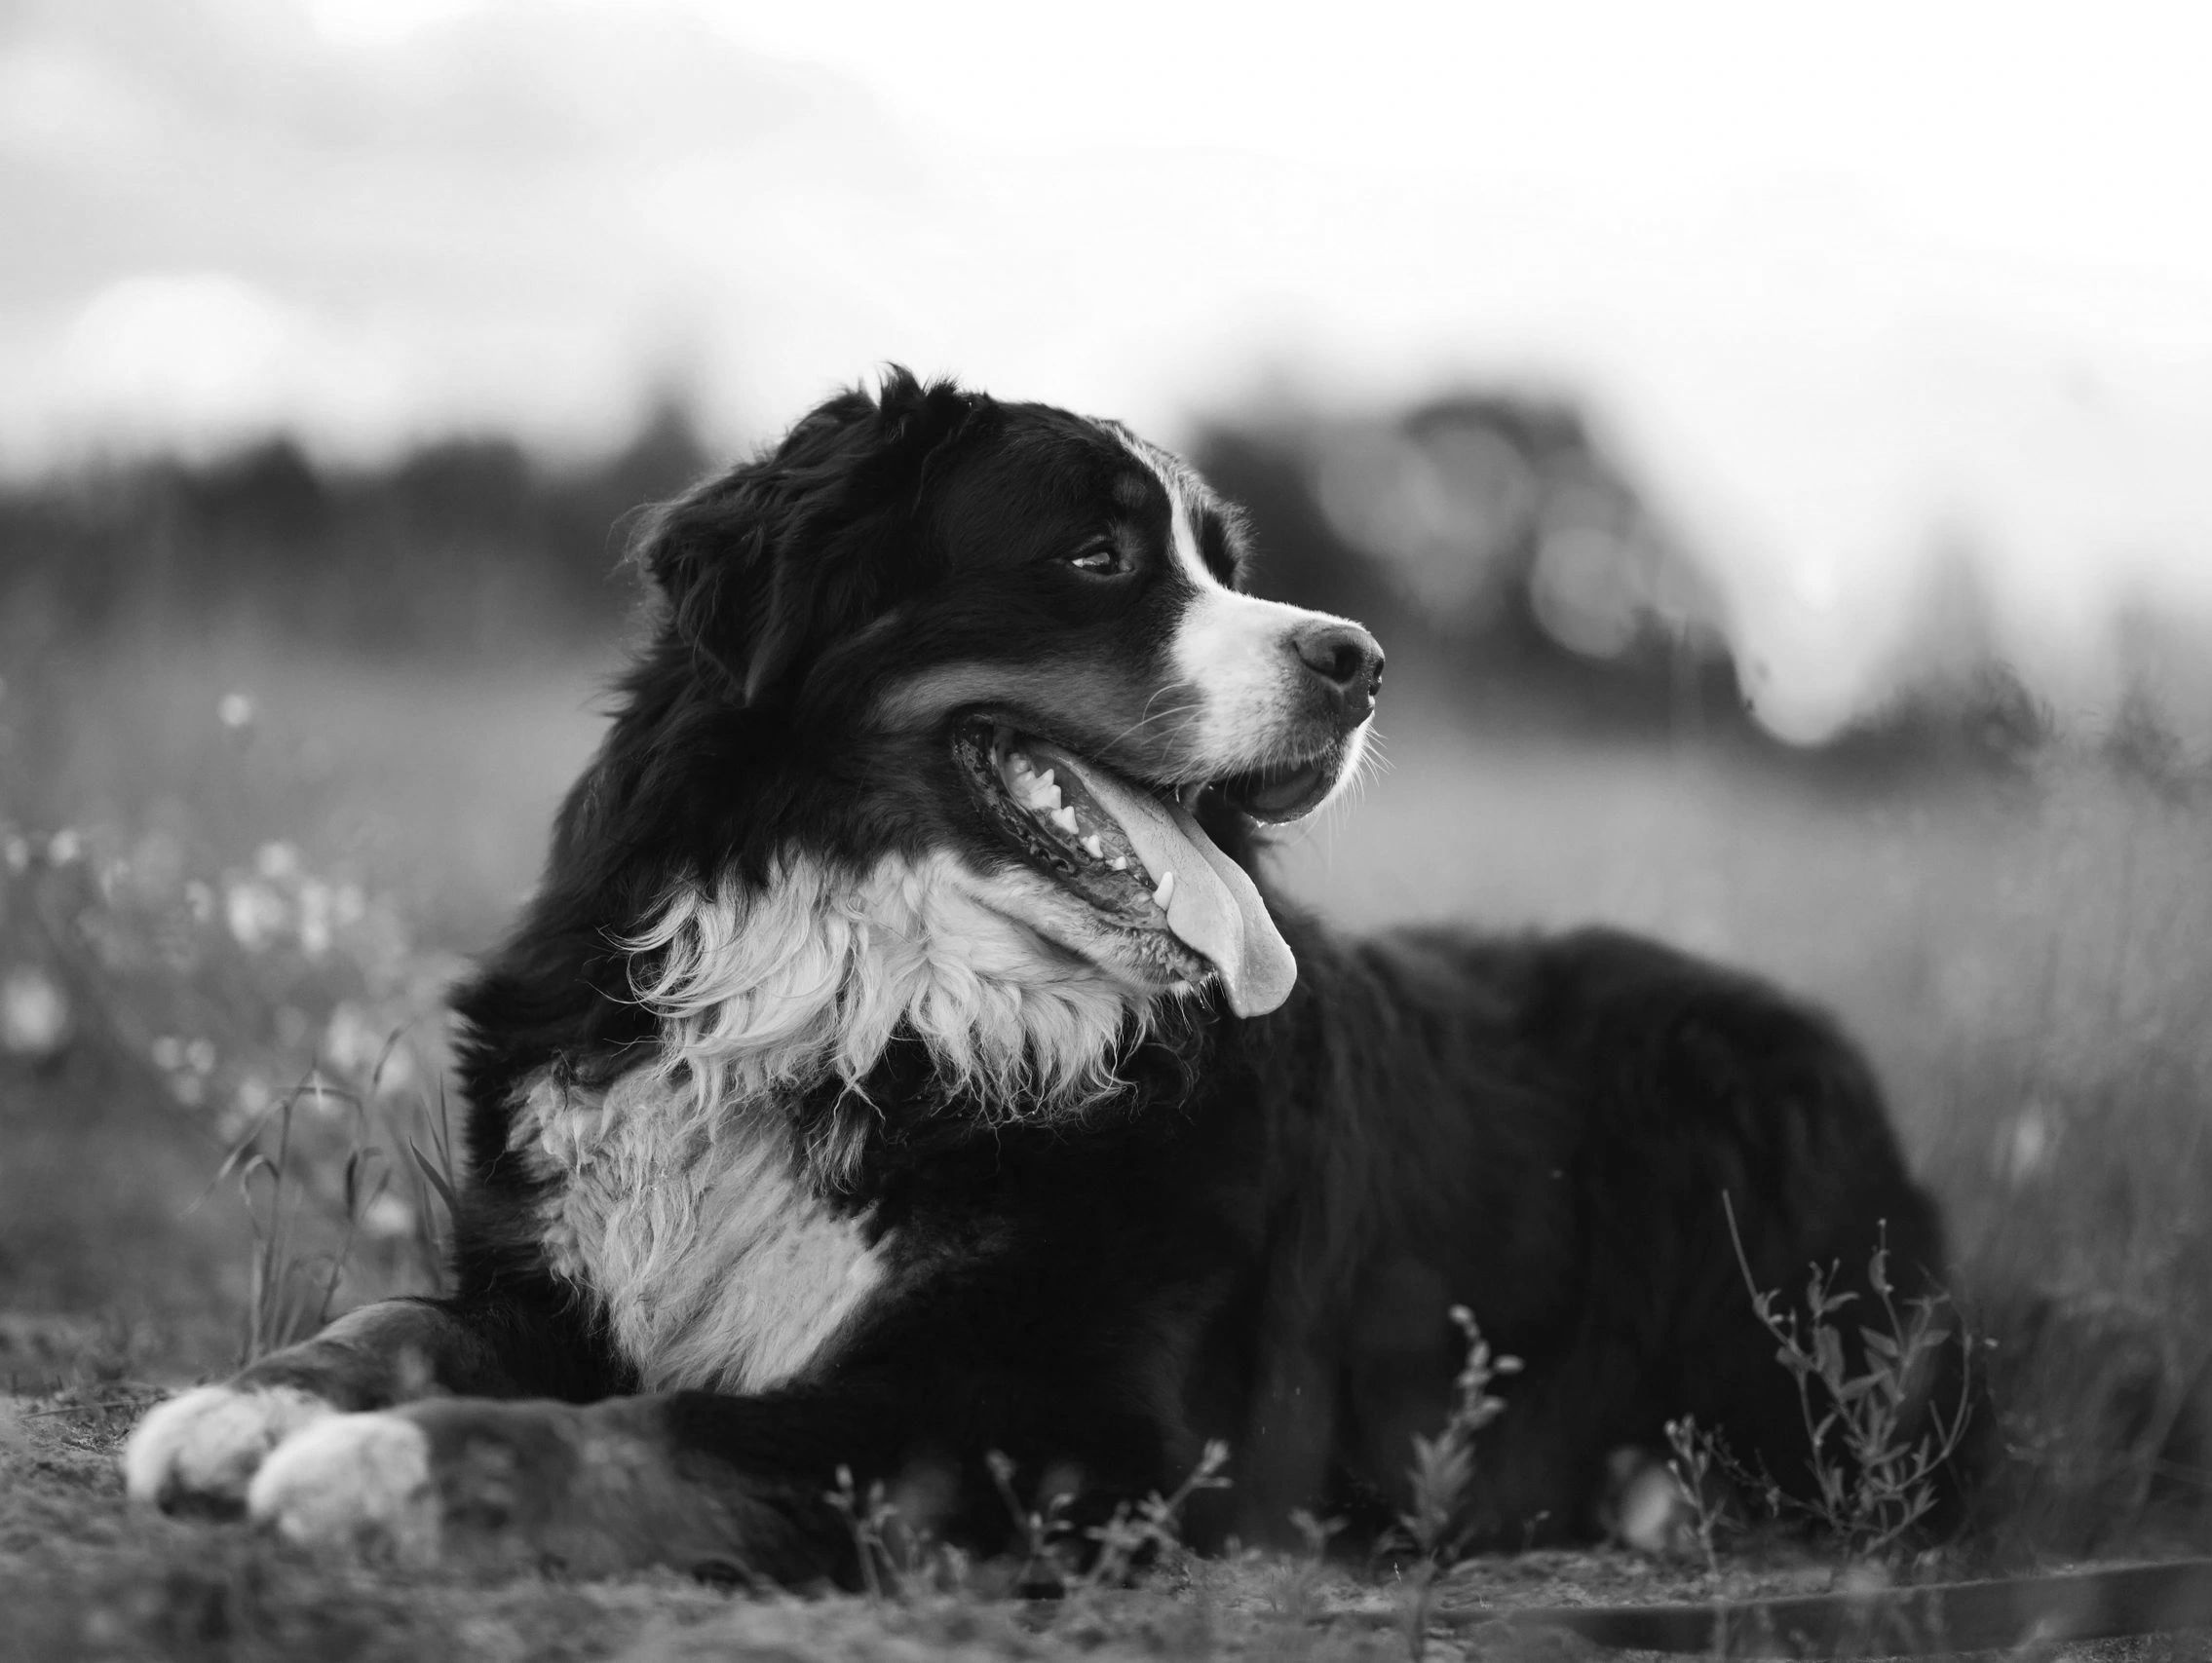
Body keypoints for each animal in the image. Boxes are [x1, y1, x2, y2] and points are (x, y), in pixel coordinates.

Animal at [121, 366, 1955, 1583]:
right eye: (1095, 558)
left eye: (1222, 560)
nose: (1359, 660)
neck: (867, 1008)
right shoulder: (554, 1274)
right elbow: (387, 1321)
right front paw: (241, 1410)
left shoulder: (1044, 1410)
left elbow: (657, 1429)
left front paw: (389, 1471)